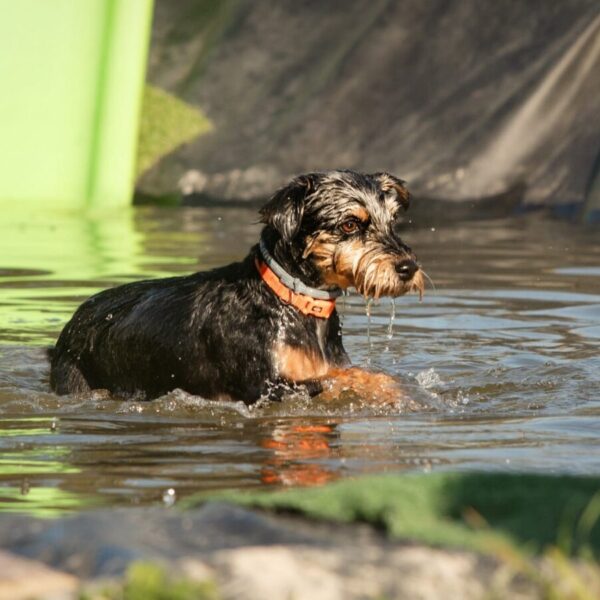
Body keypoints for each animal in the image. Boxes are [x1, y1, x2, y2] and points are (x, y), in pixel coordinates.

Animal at [49, 169, 424, 404]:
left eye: (392, 222)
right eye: (349, 225)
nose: (408, 268)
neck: (290, 300)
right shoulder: (267, 387)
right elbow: (338, 379)